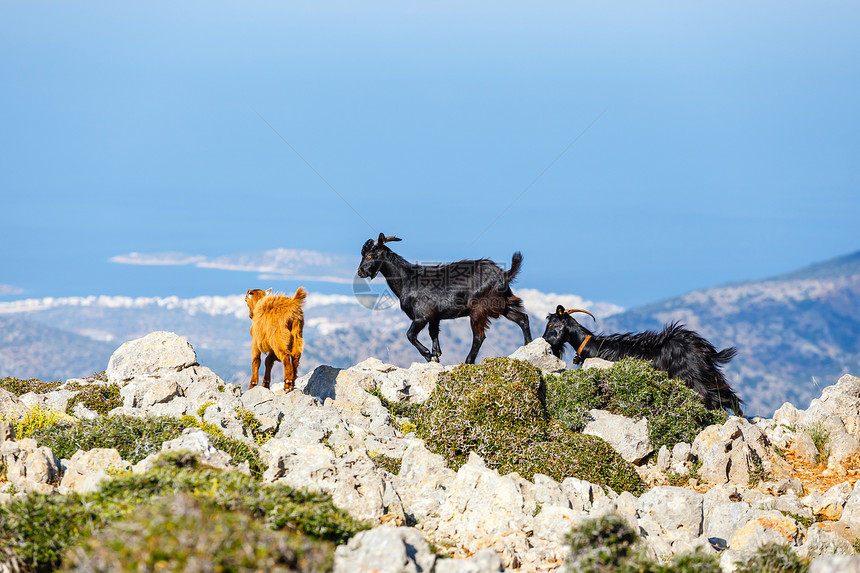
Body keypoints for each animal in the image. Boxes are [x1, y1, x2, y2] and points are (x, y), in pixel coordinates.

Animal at [354, 231, 532, 362]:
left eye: (370, 255)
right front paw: (436, 354)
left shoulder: (421, 316)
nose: (360, 272)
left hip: (479, 307)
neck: (407, 279)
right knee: (522, 318)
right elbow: (433, 333)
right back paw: (529, 346)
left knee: (479, 336)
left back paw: (468, 361)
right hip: (503, 303)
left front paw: (428, 355)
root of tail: (503, 274)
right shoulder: (434, 317)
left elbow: (410, 335)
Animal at [548, 304, 744, 416]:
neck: (591, 344)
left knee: (717, 401)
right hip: (709, 375)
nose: (545, 340)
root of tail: (706, 350)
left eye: (551, 324)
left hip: (696, 379)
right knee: (730, 397)